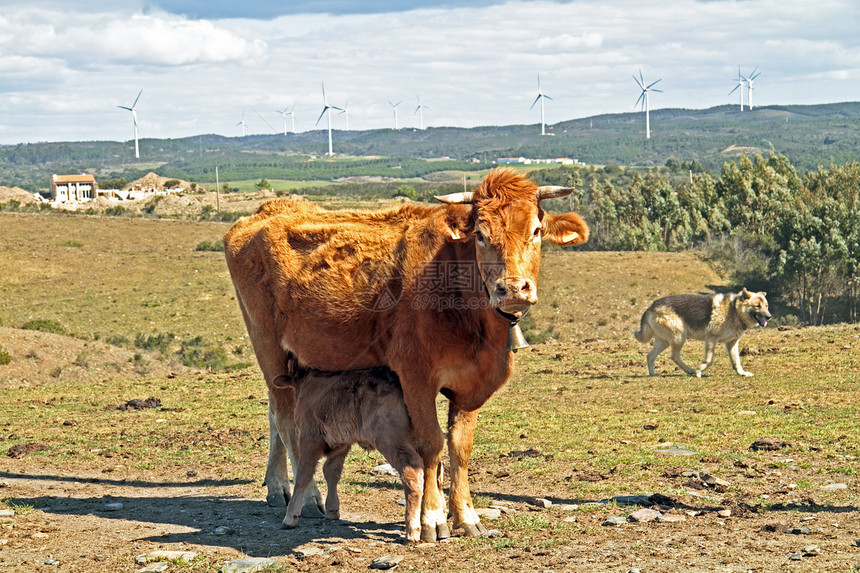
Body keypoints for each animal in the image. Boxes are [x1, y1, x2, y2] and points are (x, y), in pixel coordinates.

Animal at [276, 354, 424, 540]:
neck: (306, 383)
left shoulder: (310, 437)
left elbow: (304, 474)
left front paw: (290, 517)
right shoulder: (342, 442)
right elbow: (331, 470)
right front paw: (332, 510)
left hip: (389, 439)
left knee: (412, 469)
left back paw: (412, 530)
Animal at [632, 288, 772, 378]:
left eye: (766, 306)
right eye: (757, 306)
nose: (769, 317)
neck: (734, 311)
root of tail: (651, 306)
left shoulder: (732, 343)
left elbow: (736, 361)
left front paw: (742, 373)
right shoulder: (711, 339)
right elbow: (709, 360)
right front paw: (699, 370)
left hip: (665, 341)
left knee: (650, 356)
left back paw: (653, 374)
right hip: (679, 337)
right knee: (674, 356)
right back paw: (691, 371)